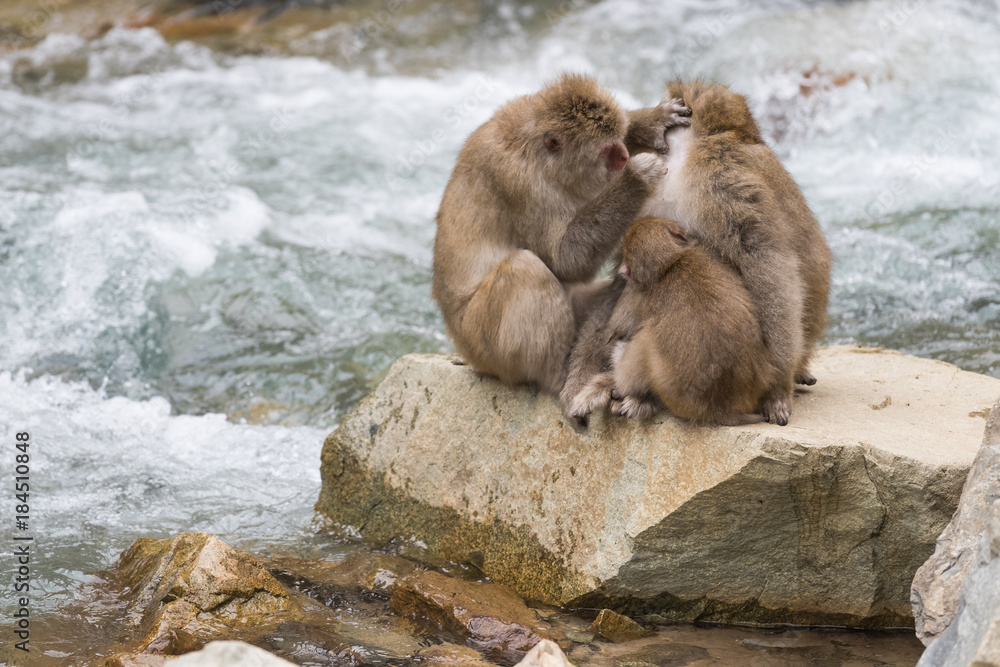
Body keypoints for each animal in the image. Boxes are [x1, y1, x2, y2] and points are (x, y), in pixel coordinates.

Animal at [434, 75, 692, 394]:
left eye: (619, 140)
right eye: (608, 151)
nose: (623, 155)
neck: (534, 150)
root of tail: (462, 345)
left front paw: (649, 121)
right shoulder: (523, 183)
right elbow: (565, 260)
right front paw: (637, 177)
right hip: (484, 346)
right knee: (524, 268)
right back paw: (562, 377)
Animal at [580, 219, 780, 428]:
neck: (670, 263)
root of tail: (719, 409)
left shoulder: (635, 293)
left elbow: (619, 330)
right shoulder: (708, 253)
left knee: (642, 341)